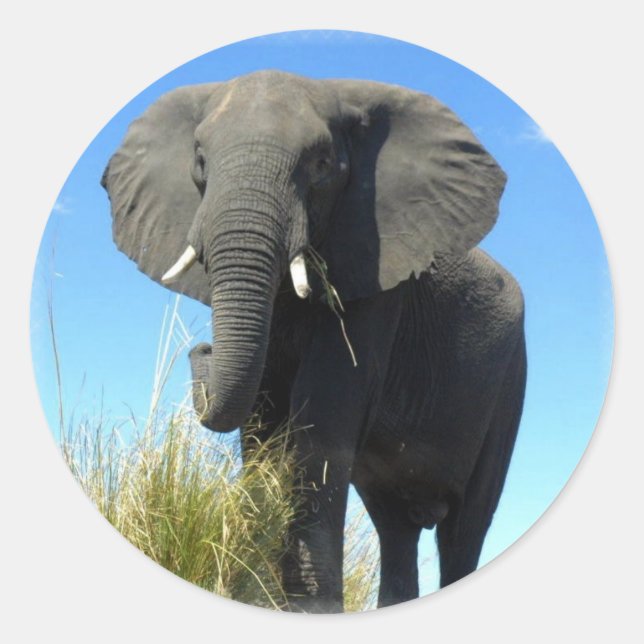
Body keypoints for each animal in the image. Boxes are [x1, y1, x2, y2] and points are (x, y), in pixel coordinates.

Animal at [101, 70, 527, 613]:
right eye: (199, 161)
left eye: (322, 165)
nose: (201, 349)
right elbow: (261, 419)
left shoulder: (377, 275)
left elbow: (322, 412)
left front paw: (309, 608)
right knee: (395, 526)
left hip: (509, 381)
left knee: (465, 527)